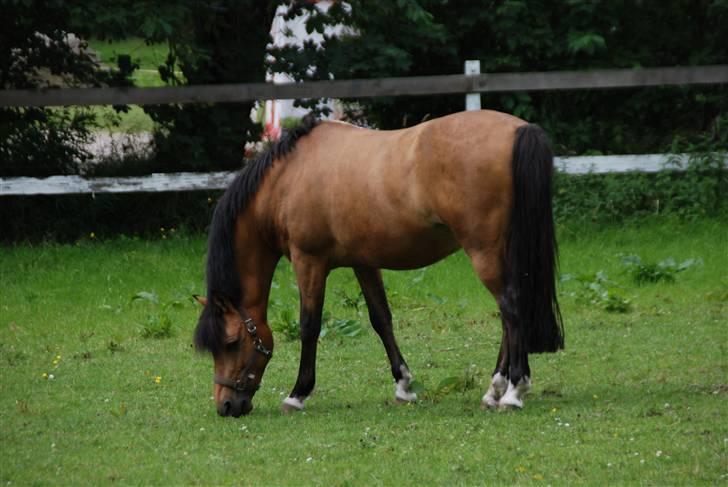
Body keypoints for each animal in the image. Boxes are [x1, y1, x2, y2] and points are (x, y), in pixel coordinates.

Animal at [193, 110, 564, 420]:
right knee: (507, 316)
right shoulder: (364, 263)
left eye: (231, 342)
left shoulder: (308, 261)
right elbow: (381, 319)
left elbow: (309, 326)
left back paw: (513, 391)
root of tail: (519, 129)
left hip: (484, 252)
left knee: (512, 308)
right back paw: (494, 390)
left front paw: (297, 394)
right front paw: (404, 386)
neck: (289, 178)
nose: (226, 405)